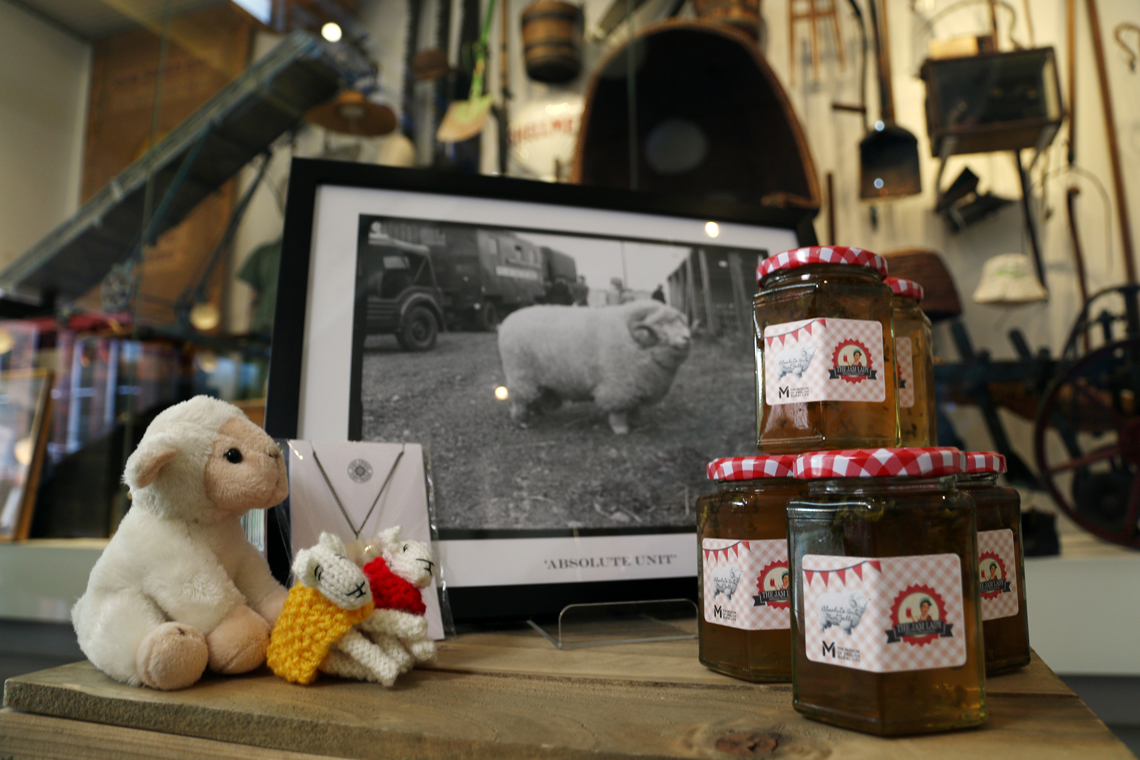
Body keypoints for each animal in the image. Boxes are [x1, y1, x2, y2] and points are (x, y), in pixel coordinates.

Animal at [497, 300, 688, 437]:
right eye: (660, 324)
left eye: (680, 322)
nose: (687, 337)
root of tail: (506, 322)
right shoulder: (618, 387)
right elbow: (618, 411)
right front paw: (621, 430)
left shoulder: (635, 387)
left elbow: (635, 408)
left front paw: (637, 423)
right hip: (520, 376)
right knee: (520, 400)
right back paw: (522, 421)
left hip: (536, 382)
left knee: (533, 398)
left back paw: (537, 415)